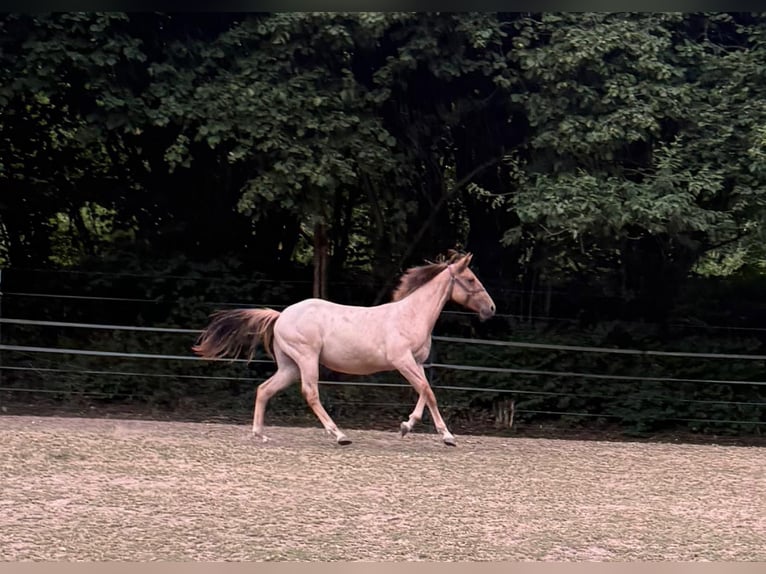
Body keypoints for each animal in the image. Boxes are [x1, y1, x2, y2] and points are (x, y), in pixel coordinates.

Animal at [192, 251, 496, 446]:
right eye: (470, 279)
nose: (491, 309)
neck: (410, 315)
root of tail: (281, 315)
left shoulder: (418, 363)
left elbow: (425, 392)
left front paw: (407, 427)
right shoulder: (402, 361)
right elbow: (428, 392)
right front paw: (447, 436)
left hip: (290, 366)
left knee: (264, 390)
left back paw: (260, 435)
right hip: (307, 359)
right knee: (310, 393)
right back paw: (338, 435)